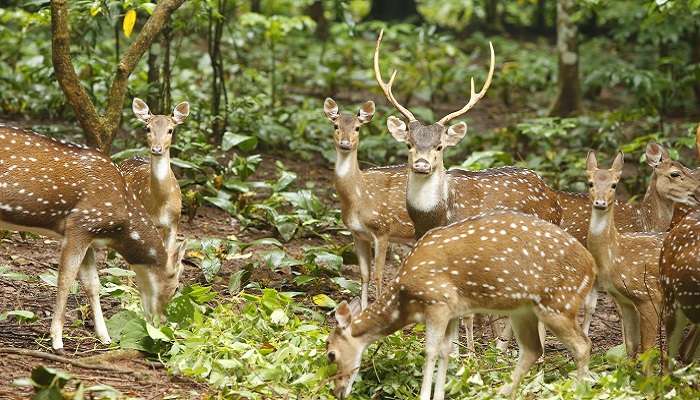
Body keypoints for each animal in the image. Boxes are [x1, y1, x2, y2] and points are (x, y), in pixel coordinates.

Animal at [0, 126, 186, 350]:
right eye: (176, 287)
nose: (162, 324)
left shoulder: (89, 235)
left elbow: (93, 284)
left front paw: (105, 336)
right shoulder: (79, 225)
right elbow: (65, 279)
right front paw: (57, 340)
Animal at [322, 97, 416, 310]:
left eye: (357, 128)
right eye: (335, 125)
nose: (345, 144)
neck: (359, 198)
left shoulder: (382, 229)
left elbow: (378, 275)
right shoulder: (358, 234)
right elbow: (364, 275)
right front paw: (363, 309)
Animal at [328, 211, 596, 398]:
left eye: (331, 354)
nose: (337, 391)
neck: (406, 300)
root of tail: (591, 268)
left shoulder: (437, 300)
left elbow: (431, 350)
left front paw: (424, 395)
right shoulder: (453, 310)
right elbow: (447, 351)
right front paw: (440, 394)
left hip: (558, 304)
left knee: (583, 345)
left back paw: (578, 390)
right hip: (524, 310)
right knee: (533, 350)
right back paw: (501, 393)